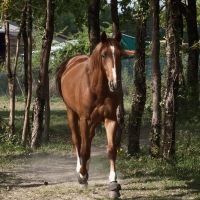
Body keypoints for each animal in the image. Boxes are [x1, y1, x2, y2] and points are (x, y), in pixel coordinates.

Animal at [56, 32, 134, 198]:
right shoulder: (84, 119)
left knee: (88, 140)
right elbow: (83, 149)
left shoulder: (110, 119)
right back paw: (81, 171)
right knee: (78, 141)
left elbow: (111, 149)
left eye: (120, 54)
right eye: (104, 55)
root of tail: (70, 62)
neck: (97, 88)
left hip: (94, 120)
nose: (115, 84)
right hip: (72, 113)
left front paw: (113, 184)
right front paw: (82, 176)